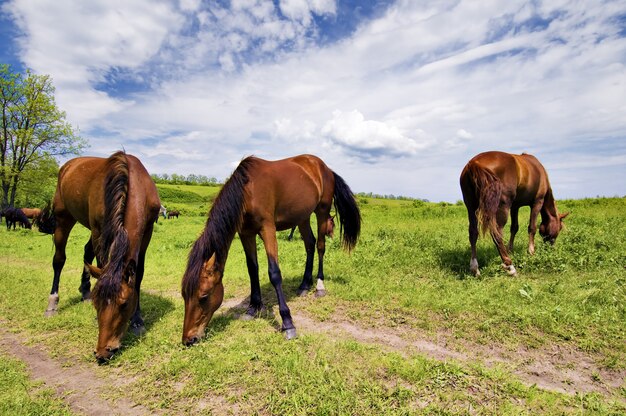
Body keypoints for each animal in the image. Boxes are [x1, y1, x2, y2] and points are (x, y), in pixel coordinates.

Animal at [38, 151, 160, 362]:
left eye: (124, 304)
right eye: (98, 304)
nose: (103, 352)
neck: (131, 181)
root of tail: (68, 166)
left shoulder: (148, 231)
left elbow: (138, 275)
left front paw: (137, 320)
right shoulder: (98, 230)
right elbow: (102, 265)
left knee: (86, 253)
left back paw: (84, 290)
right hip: (63, 218)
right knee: (59, 260)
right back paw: (52, 304)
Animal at [179, 154, 360, 342]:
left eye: (204, 296)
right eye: (184, 294)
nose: (188, 339)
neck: (248, 190)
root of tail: (325, 168)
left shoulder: (267, 229)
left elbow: (274, 273)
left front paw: (288, 323)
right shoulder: (246, 233)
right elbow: (252, 269)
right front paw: (253, 307)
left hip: (322, 212)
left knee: (320, 247)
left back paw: (319, 286)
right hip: (302, 216)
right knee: (309, 244)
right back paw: (304, 285)